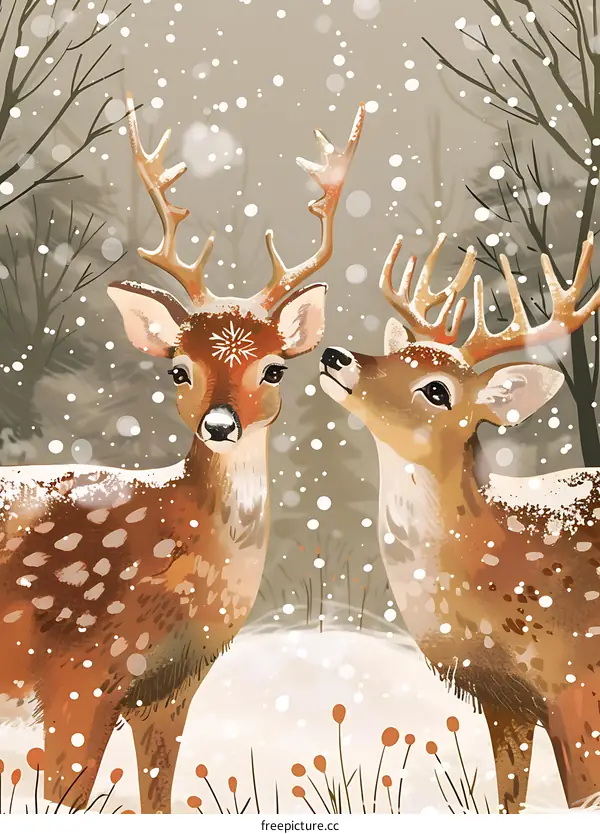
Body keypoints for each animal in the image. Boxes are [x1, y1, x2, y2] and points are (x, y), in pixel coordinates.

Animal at [0, 97, 365, 813]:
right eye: (178, 369)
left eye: (274, 368)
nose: (221, 425)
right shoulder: (74, 674)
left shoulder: (169, 691)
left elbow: (159, 796)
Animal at [319, 231, 600, 813]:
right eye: (396, 351)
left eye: (437, 390)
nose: (336, 356)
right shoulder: (505, 703)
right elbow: (509, 799)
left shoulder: (577, 686)